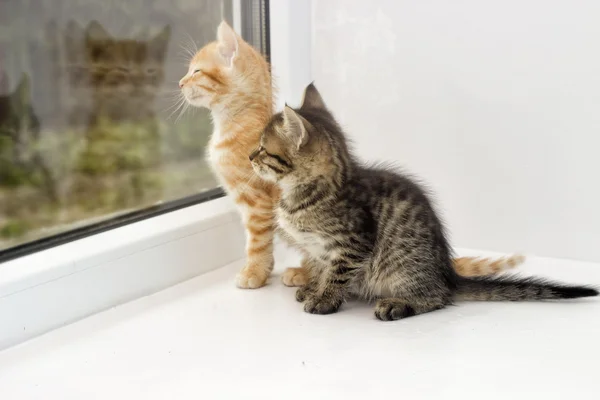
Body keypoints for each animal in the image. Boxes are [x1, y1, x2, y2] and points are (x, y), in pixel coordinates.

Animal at [248, 84, 596, 318]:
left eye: (263, 149)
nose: (250, 157)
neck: (304, 193)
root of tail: (448, 275)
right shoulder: (317, 249)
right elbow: (320, 268)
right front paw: (313, 286)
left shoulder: (353, 243)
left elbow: (336, 274)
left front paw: (324, 299)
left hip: (402, 268)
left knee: (438, 298)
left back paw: (398, 305)